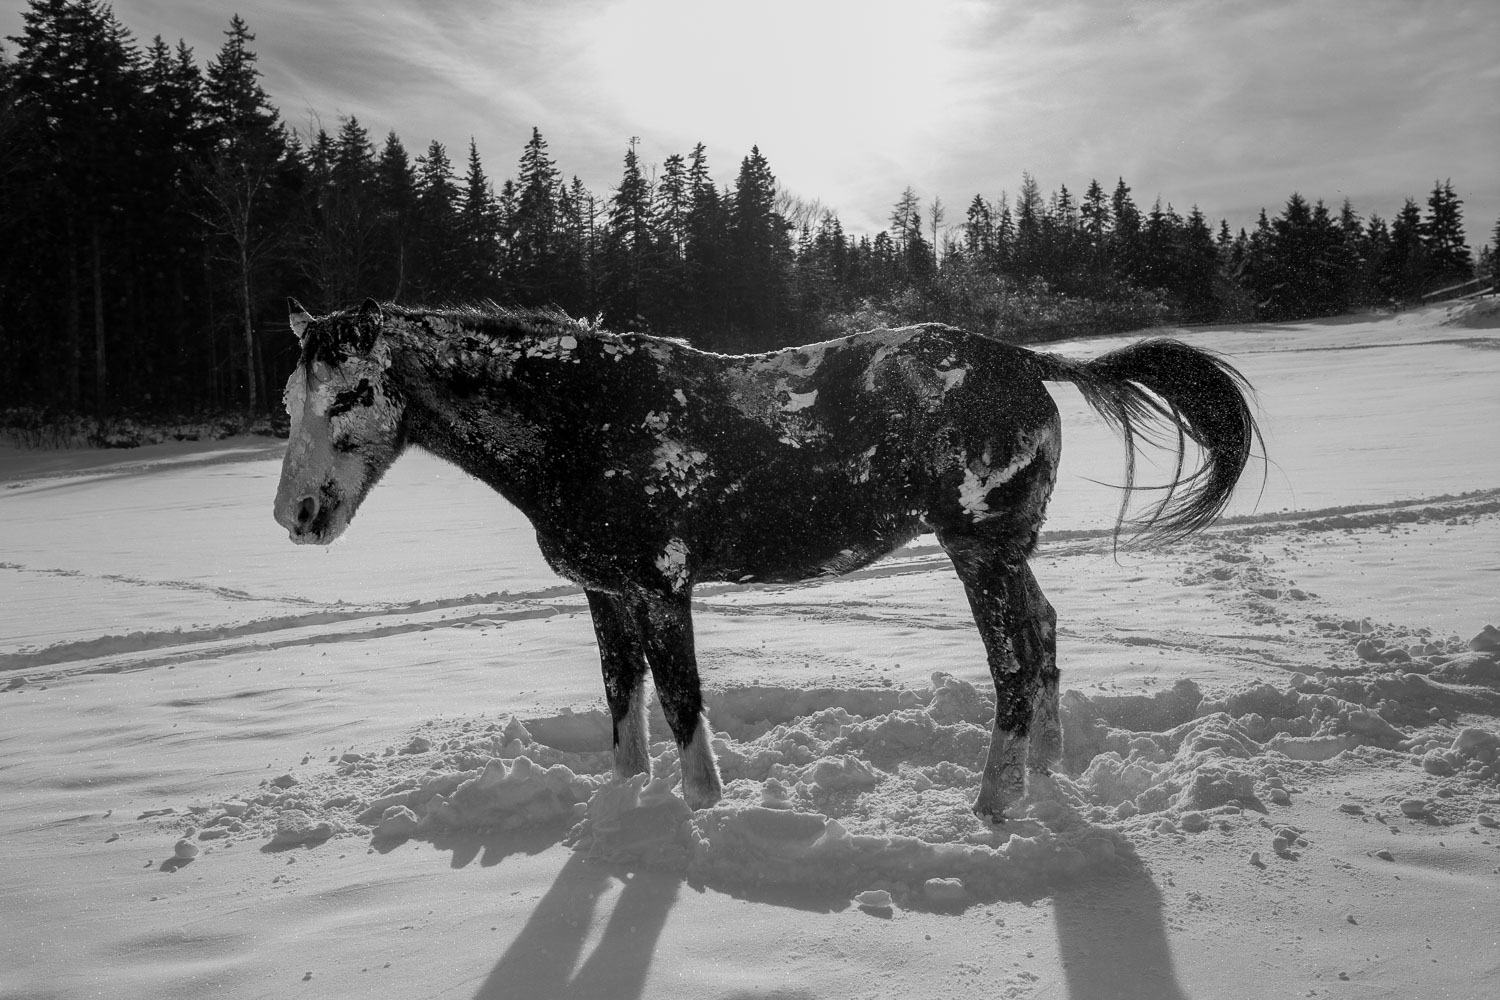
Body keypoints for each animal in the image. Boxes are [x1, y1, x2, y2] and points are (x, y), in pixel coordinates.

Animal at [276, 301, 1260, 827]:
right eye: (291, 400)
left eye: (352, 393)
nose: (296, 516)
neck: (577, 420)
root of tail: (1021, 358)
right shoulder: (605, 596)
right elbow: (623, 711)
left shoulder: (661, 589)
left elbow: (682, 710)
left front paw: (704, 817)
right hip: (1009, 552)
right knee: (1046, 637)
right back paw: (1047, 776)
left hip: (977, 552)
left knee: (1014, 667)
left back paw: (992, 808)